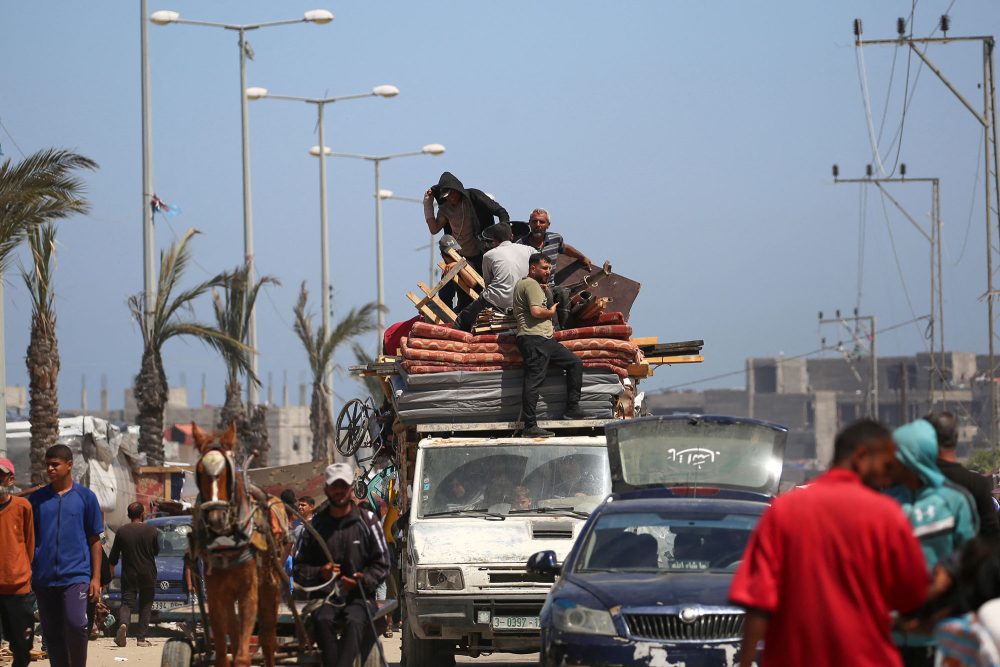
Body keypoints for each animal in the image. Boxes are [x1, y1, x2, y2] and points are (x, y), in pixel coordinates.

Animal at [192, 426, 292, 664]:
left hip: (270, 584)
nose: (217, 518)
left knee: (268, 639)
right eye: (199, 472)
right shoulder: (216, 593)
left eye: (227, 473)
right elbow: (223, 653)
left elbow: (243, 656)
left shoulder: (249, 591)